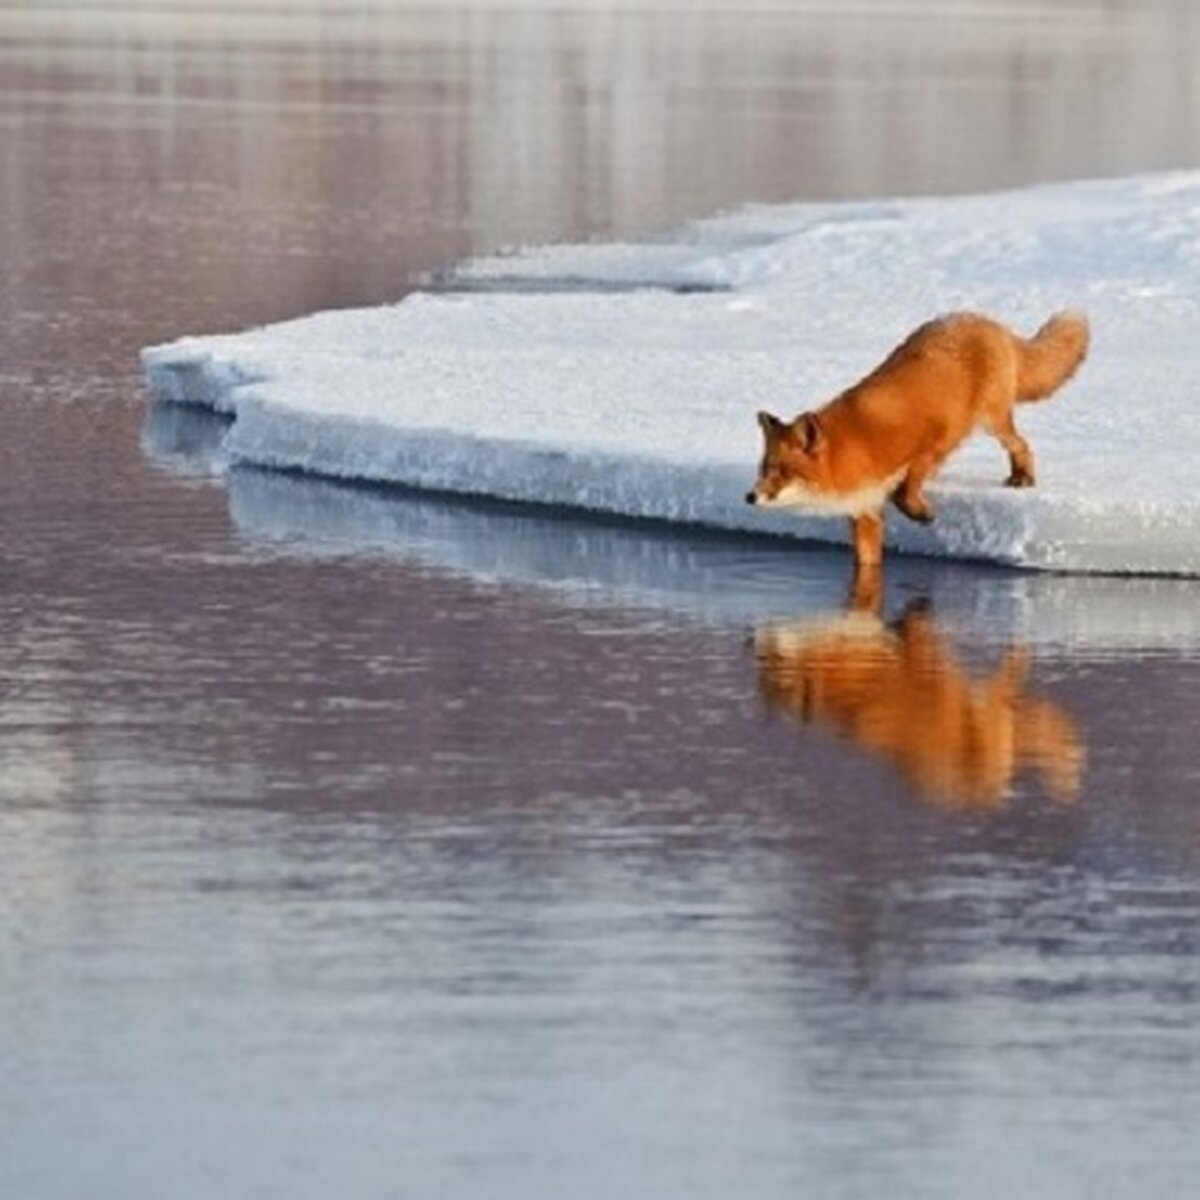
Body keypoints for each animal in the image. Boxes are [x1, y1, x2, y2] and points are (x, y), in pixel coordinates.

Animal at [739, 314, 1089, 566]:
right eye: (763, 469)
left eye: (783, 472)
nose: (750, 497)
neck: (854, 448)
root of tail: (983, 319)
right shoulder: (864, 512)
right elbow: (868, 564)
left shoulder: (933, 442)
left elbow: (905, 490)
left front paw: (921, 513)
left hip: (992, 420)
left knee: (1021, 443)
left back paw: (1023, 476)